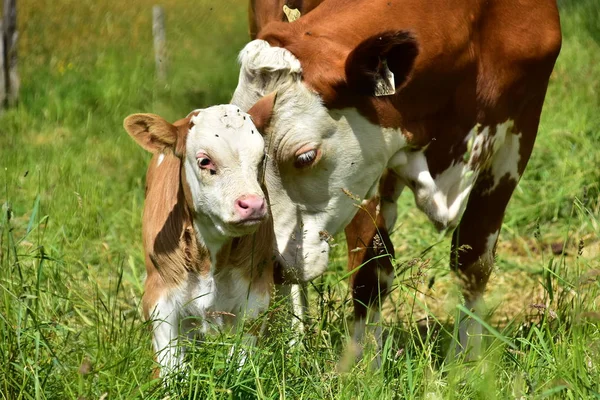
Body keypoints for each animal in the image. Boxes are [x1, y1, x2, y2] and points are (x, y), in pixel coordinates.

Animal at [125, 100, 278, 376]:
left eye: (262, 158)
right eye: (205, 161)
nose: (253, 205)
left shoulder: (257, 294)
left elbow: (242, 361)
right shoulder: (159, 295)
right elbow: (170, 365)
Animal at [232, 0, 560, 358]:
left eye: (305, 157)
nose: (268, 262)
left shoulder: (522, 121)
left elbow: (473, 259)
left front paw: (466, 358)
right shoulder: (370, 164)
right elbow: (371, 271)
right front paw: (362, 363)